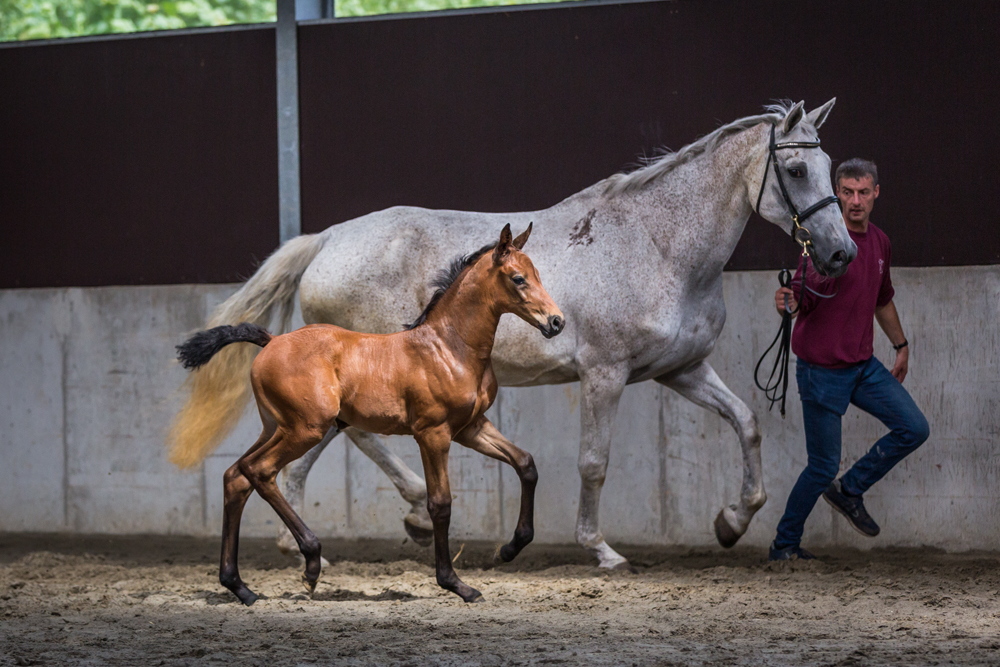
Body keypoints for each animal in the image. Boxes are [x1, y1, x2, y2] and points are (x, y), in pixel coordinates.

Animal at [174, 226, 564, 604]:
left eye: (537, 274)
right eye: (518, 278)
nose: (556, 321)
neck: (450, 348)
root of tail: (272, 341)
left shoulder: (471, 428)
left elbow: (526, 463)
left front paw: (509, 549)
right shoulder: (433, 433)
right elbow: (440, 504)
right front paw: (456, 584)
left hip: (276, 427)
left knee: (236, 476)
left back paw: (240, 587)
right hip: (306, 429)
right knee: (259, 471)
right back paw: (311, 563)